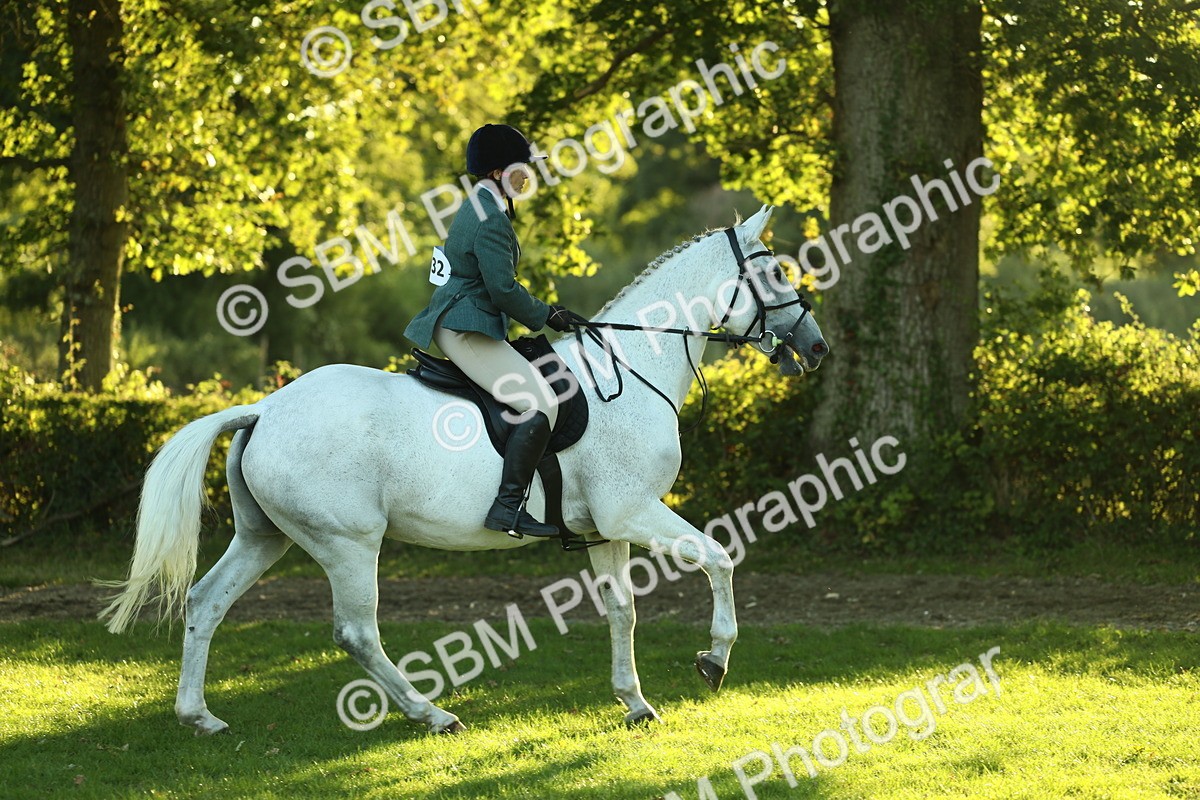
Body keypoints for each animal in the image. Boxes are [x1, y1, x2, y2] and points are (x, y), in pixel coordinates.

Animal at [99, 204, 828, 735]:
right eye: (775, 276)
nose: (817, 347)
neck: (635, 364)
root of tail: (265, 408)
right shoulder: (634, 512)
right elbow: (720, 558)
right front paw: (713, 660)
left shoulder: (608, 528)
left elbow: (622, 612)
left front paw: (635, 703)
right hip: (348, 542)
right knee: (356, 632)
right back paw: (433, 714)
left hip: (265, 536)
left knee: (206, 600)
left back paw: (200, 717)